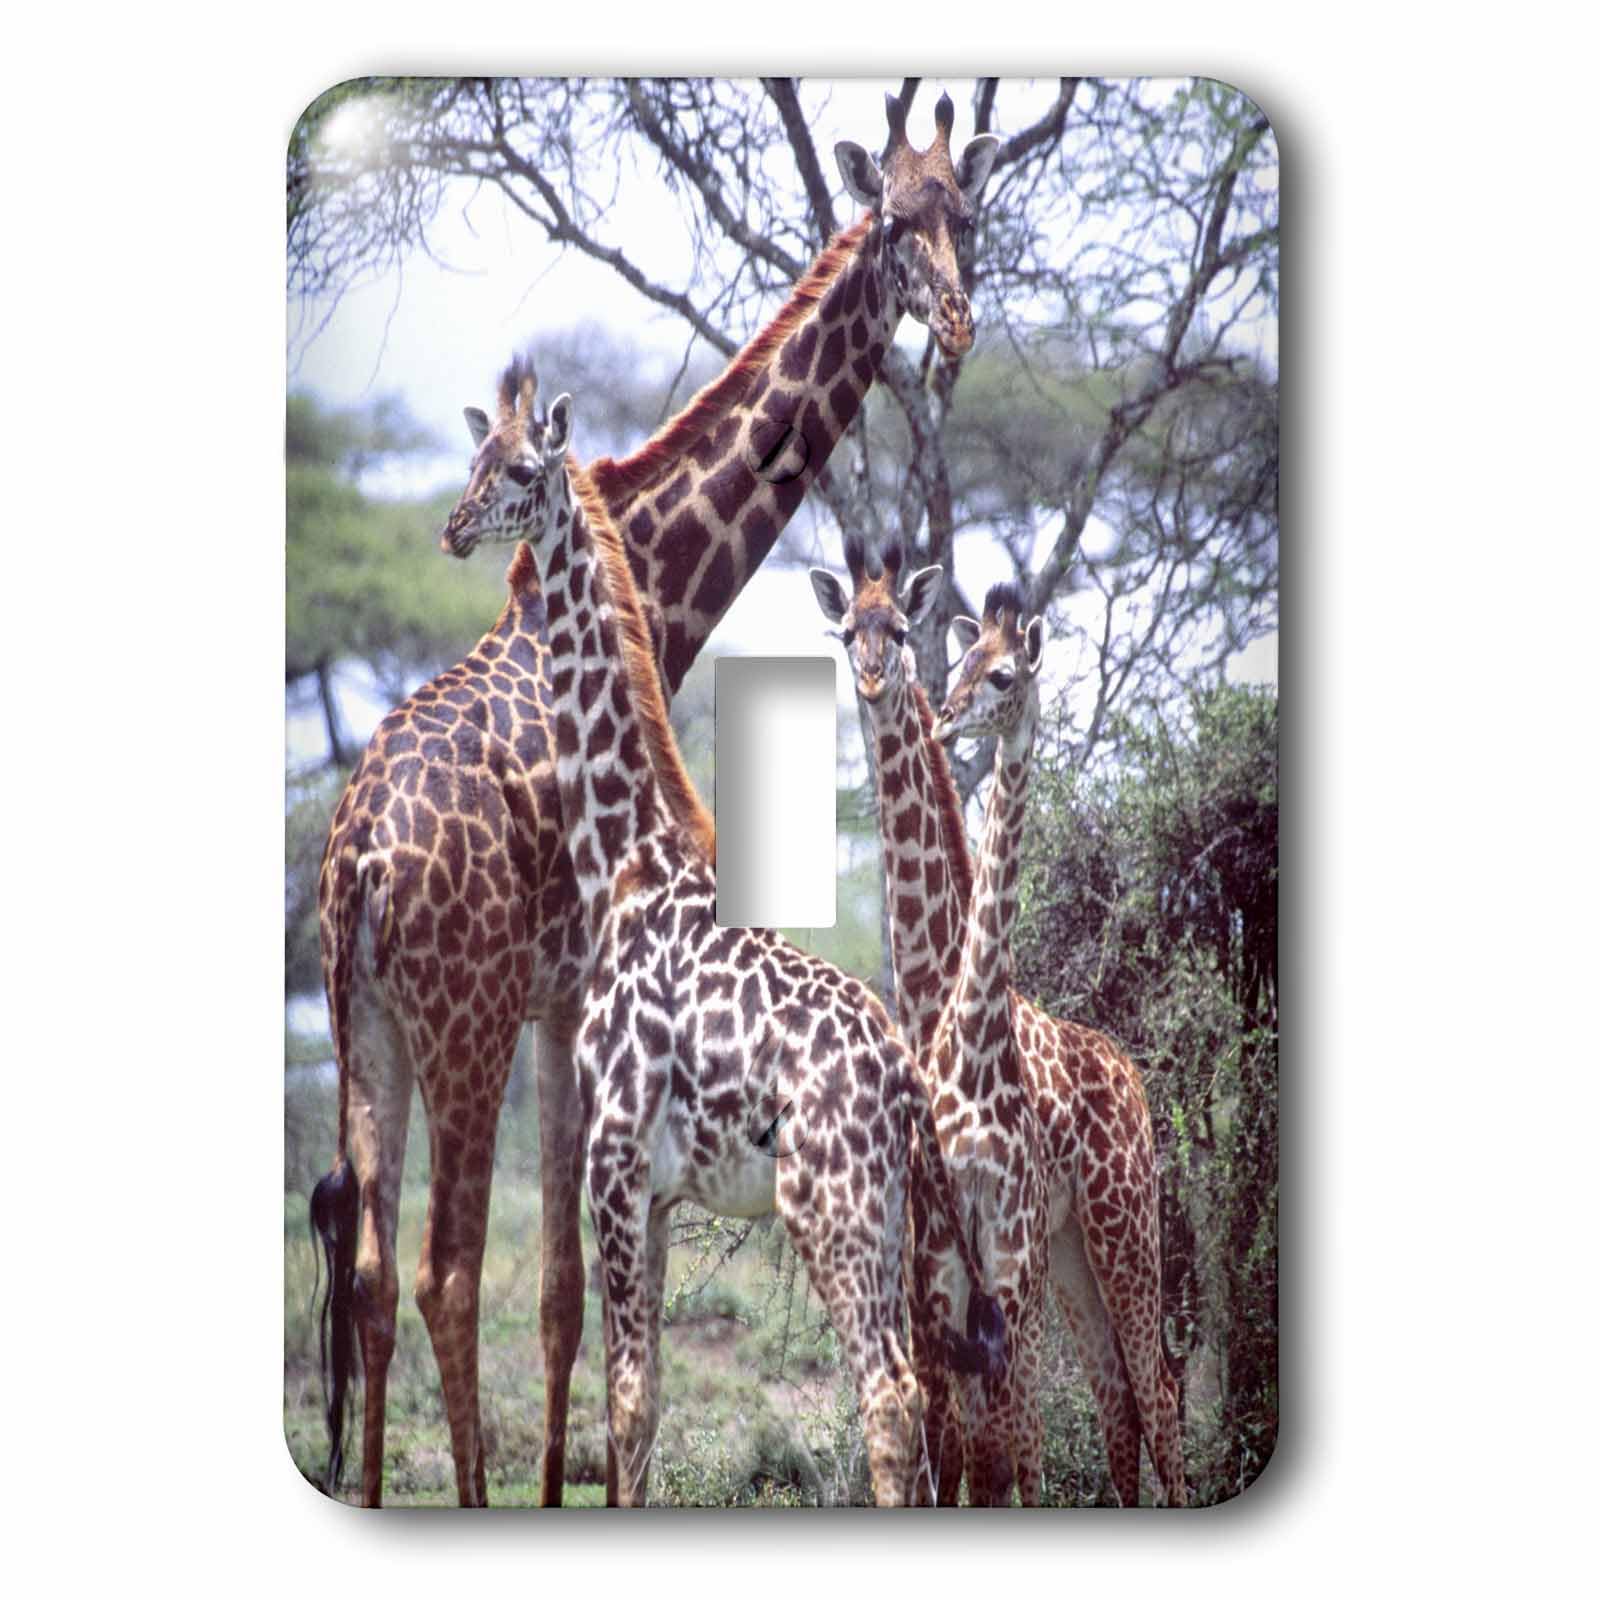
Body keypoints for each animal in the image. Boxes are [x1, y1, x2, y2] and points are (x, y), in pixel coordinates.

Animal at [437, 369, 1005, 1507]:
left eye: (520, 471)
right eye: (473, 460)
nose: (455, 526)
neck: (626, 860)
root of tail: (902, 1080)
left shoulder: (614, 1162)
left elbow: (625, 1402)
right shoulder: (656, 1194)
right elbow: (644, 1409)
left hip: (828, 1207)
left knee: (889, 1396)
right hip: (898, 1223)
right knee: (933, 1404)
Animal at [810, 540, 1188, 1506]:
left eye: (1005, 674)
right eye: (846, 630)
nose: (889, 686)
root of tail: (1129, 1072)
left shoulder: (1000, 1268)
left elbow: (1001, 1451)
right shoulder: (936, 1265)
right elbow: (955, 1449)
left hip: (1122, 1230)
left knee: (1156, 1394)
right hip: (1071, 1256)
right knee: (1115, 1403)